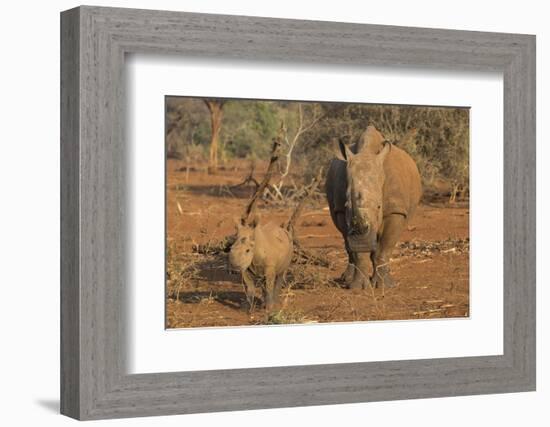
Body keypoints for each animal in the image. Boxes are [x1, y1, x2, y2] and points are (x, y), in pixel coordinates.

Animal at [328, 125, 422, 290]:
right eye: (346, 205)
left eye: (379, 206)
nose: (362, 242)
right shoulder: (340, 210)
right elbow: (358, 252)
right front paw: (358, 287)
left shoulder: (395, 210)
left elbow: (385, 248)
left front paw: (385, 286)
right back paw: (347, 279)